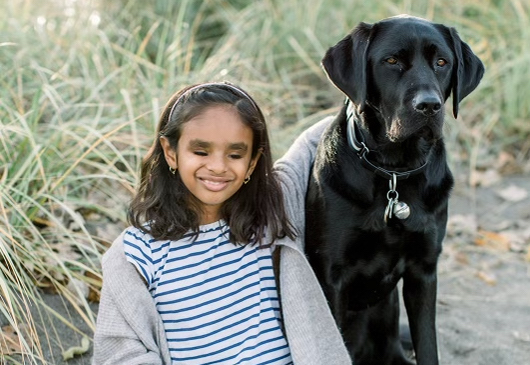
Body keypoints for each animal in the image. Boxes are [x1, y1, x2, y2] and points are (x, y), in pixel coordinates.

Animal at [306, 14, 482, 364]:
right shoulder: (332, 275)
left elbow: (428, 346)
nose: (429, 105)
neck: (395, 172)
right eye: (391, 61)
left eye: (442, 62)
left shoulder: (423, 271)